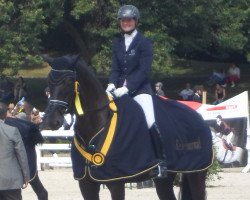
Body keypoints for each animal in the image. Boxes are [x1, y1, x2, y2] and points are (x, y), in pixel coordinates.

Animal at [41, 55, 213, 200]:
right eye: (49, 81)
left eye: (69, 81)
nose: (52, 121)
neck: (96, 126)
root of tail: (199, 118)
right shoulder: (86, 184)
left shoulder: (116, 181)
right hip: (165, 179)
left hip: (196, 173)